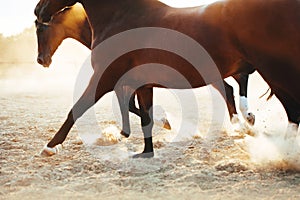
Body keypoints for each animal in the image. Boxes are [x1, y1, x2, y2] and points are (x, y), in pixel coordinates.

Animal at [34, 0, 298, 159]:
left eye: (41, 28)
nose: (38, 10)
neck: (123, 19)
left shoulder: (106, 78)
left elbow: (77, 109)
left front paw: (50, 146)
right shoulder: (139, 82)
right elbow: (143, 114)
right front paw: (144, 149)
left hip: (274, 71)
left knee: (286, 108)